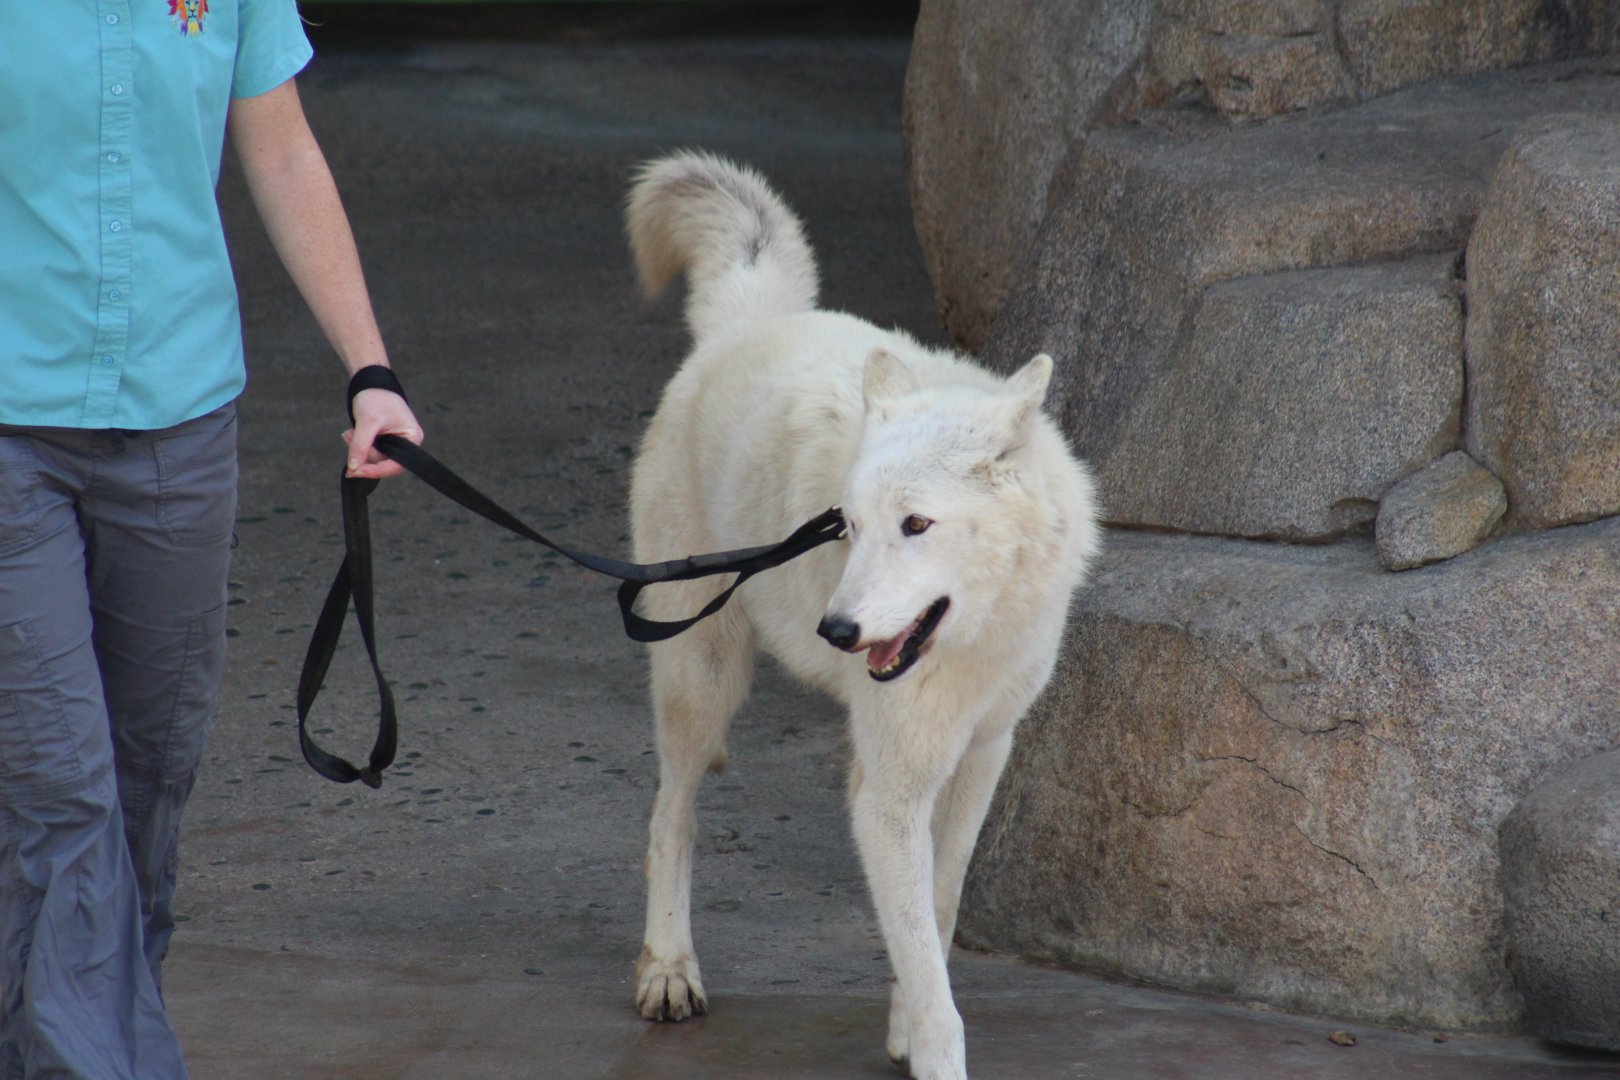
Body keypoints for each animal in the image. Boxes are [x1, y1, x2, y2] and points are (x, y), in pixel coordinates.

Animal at [624, 151, 1101, 1080]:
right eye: (844, 526)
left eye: (915, 524)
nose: (836, 633)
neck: (975, 639)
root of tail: (752, 321)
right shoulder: (893, 790)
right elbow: (935, 978)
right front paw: (932, 1047)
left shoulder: (983, 753)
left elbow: (937, 918)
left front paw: (905, 1023)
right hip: (702, 679)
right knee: (670, 819)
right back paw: (668, 970)